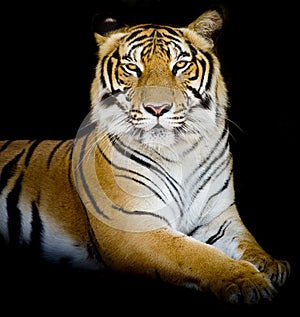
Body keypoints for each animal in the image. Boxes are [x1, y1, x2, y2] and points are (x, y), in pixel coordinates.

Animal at [0, 8, 290, 302]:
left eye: (180, 65)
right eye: (132, 67)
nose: (157, 108)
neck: (180, 153)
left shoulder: (219, 217)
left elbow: (247, 242)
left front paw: (272, 264)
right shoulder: (134, 226)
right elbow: (197, 254)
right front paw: (246, 280)